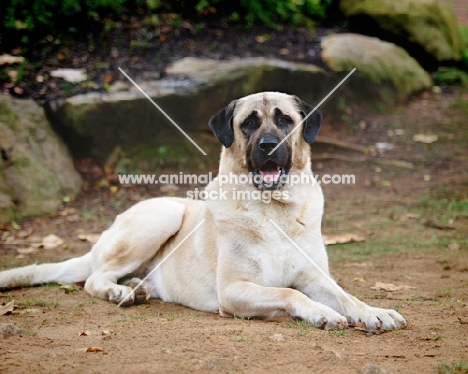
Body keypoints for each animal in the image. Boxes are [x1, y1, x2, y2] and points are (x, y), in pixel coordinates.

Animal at [0, 91, 406, 330]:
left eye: (285, 120)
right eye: (249, 123)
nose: (269, 146)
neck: (273, 209)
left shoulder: (315, 276)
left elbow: (346, 296)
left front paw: (374, 311)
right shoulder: (234, 290)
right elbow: (290, 294)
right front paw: (321, 313)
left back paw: (136, 287)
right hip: (162, 215)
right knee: (93, 278)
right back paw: (121, 293)